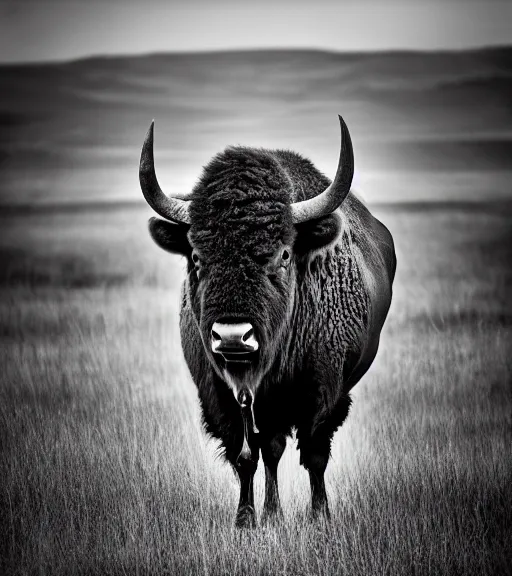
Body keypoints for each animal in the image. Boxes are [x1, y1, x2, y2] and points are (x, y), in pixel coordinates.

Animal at [139, 116, 396, 528]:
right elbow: (246, 456)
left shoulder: (323, 391)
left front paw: (319, 516)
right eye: (196, 256)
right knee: (268, 450)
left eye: (284, 254)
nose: (232, 337)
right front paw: (247, 519)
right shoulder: (223, 397)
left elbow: (314, 453)